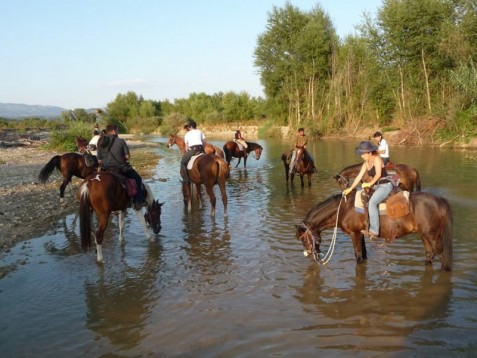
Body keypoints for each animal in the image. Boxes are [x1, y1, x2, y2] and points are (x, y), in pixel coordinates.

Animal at [296, 190, 452, 272]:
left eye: (303, 238)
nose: (309, 255)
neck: (344, 208)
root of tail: (441, 200)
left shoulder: (354, 234)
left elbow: (358, 256)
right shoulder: (360, 234)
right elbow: (364, 255)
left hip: (433, 236)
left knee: (443, 258)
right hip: (424, 235)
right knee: (429, 254)